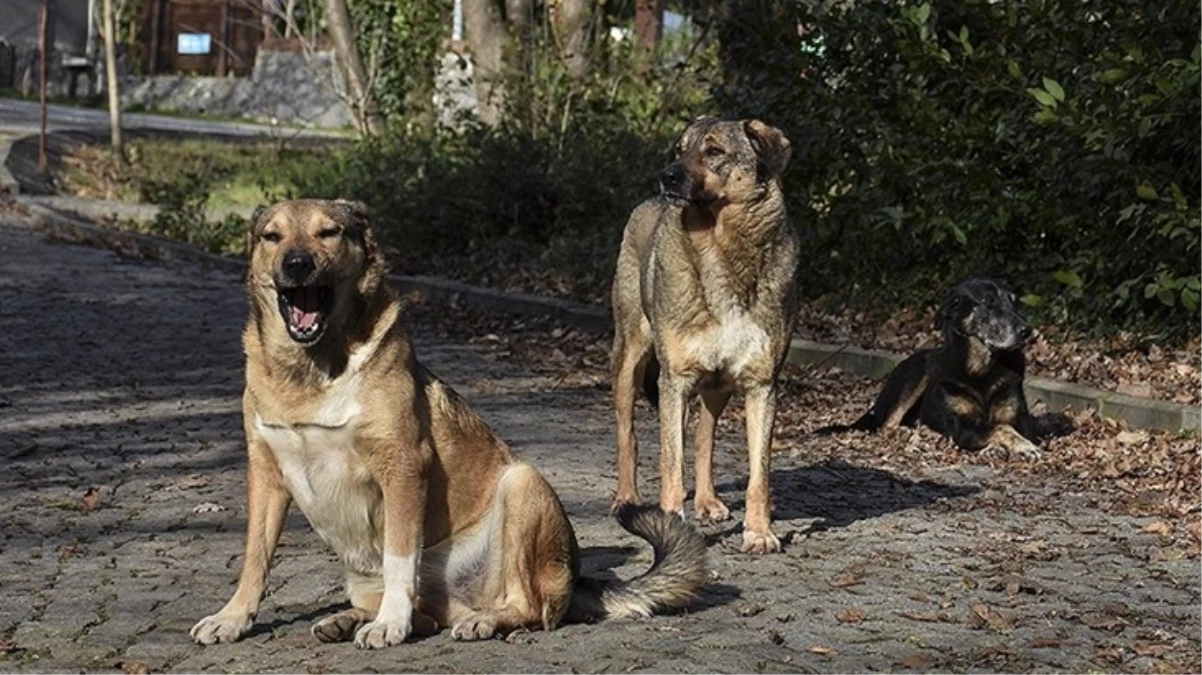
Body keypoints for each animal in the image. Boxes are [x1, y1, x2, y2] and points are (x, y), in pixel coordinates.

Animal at [192, 198, 706, 648]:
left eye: (329, 232)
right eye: (272, 236)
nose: (296, 263)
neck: (311, 372)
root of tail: (577, 578)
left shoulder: (402, 467)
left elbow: (400, 558)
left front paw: (389, 625)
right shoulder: (266, 472)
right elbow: (255, 558)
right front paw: (232, 618)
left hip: (522, 486)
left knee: (528, 608)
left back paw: (479, 621)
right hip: (364, 575)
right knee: (427, 615)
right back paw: (347, 619)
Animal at [610, 117, 798, 552]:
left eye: (714, 151)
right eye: (679, 149)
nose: (666, 176)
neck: (721, 246)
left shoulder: (762, 385)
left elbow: (758, 475)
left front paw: (759, 532)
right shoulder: (674, 381)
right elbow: (670, 464)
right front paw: (670, 527)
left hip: (718, 386)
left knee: (704, 437)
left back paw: (708, 501)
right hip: (631, 360)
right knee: (629, 434)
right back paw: (627, 499)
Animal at [817, 275, 1043, 456]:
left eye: (1014, 302)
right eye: (989, 303)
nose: (1027, 331)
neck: (980, 369)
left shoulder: (1020, 420)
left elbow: (1005, 426)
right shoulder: (961, 426)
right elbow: (1001, 429)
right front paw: (1022, 446)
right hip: (919, 373)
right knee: (888, 424)